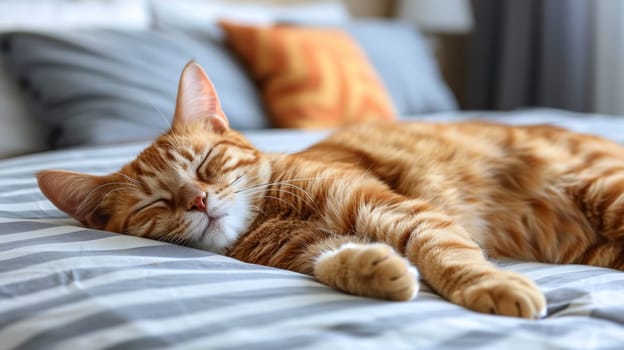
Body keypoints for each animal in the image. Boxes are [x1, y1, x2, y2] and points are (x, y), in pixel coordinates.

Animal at [36, 61, 624, 318]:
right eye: (157, 201)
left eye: (204, 165)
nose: (199, 200)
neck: (270, 216)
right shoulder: (308, 249)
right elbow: (333, 261)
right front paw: (380, 271)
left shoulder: (403, 212)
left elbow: (449, 256)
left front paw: (491, 285)